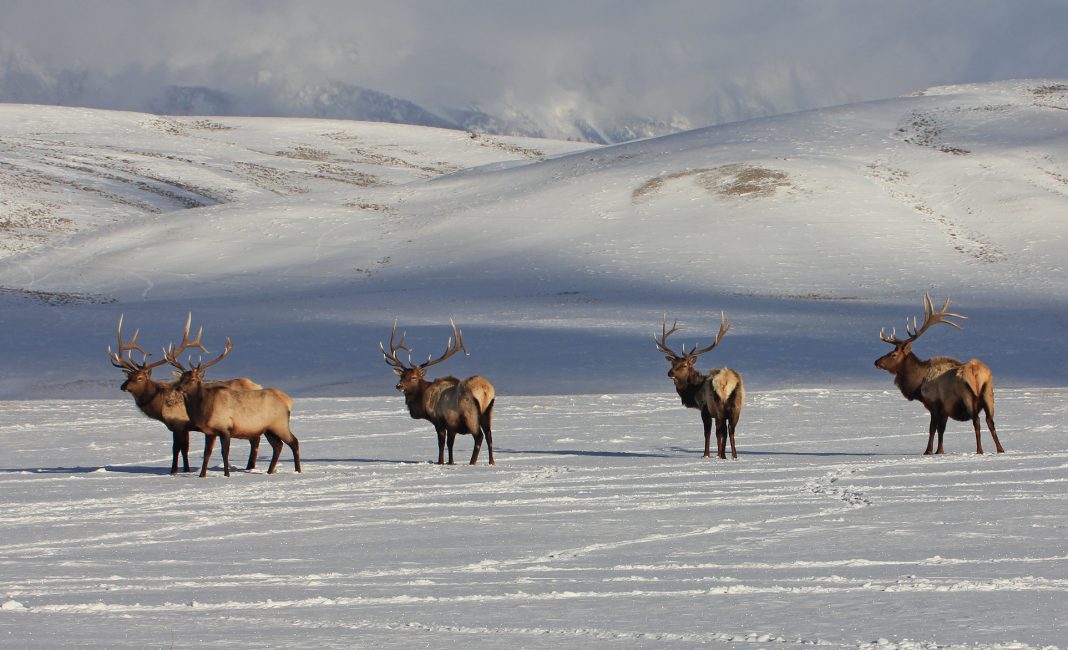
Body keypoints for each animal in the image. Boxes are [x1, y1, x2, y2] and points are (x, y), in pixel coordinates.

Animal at [107, 315, 261, 473]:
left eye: (140, 378)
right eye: (129, 376)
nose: (123, 386)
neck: (160, 405)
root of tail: (258, 385)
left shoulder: (178, 424)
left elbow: (176, 448)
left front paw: (173, 470)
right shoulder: (186, 428)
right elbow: (185, 449)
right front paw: (186, 469)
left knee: (255, 440)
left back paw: (250, 467)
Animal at [164, 324, 303, 476]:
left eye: (194, 379)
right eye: (182, 378)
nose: (178, 388)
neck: (205, 410)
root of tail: (288, 402)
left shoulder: (225, 428)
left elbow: (225, 452)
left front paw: (227, 474)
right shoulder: (210, 432)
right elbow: (207, 453)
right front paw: (202, 475)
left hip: (280, 423)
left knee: (294, 442)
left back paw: (297, 470)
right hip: (268, 428)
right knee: (278, 445)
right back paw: (269, 471)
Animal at [380, 318, 495, 461]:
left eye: (413, 377)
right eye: (401, 376)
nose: (399, 386)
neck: (423, 401)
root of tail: (485, 391)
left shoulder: (441, 420)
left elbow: (442, 444)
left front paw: (442, 462)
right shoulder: (451, 424)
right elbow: (450, 445)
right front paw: (450, 462)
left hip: (470, 413)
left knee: (479, 436)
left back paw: (472, 462)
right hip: (488, 411)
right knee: (490, 436)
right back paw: (491, 462)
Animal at [649, 313, 743, 456]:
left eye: (684, 365)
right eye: (673, 363)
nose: (669, 373)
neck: (694, 390)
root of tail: (727, 381)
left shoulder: (705, 408)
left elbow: (708, 433)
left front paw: (706, 455)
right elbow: (718, 434)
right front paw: (718, 454)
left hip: (718, 405)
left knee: (723, 430)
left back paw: (723, 456)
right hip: (736, 407)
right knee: (731, 430)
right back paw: (733, 456)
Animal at [871, 292, 1003, 454]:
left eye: (893, 354)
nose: (876, 362)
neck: (918, 384)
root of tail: (975, 371)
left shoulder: (934, 403)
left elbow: (933, 428)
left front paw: (928, 451)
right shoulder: (945, 408)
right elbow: (942, 429)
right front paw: (940, 451)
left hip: (968, 395)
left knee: (976, 421)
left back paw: (980, 450)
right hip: (988, 393)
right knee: (990, 421)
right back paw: (1000, 449)